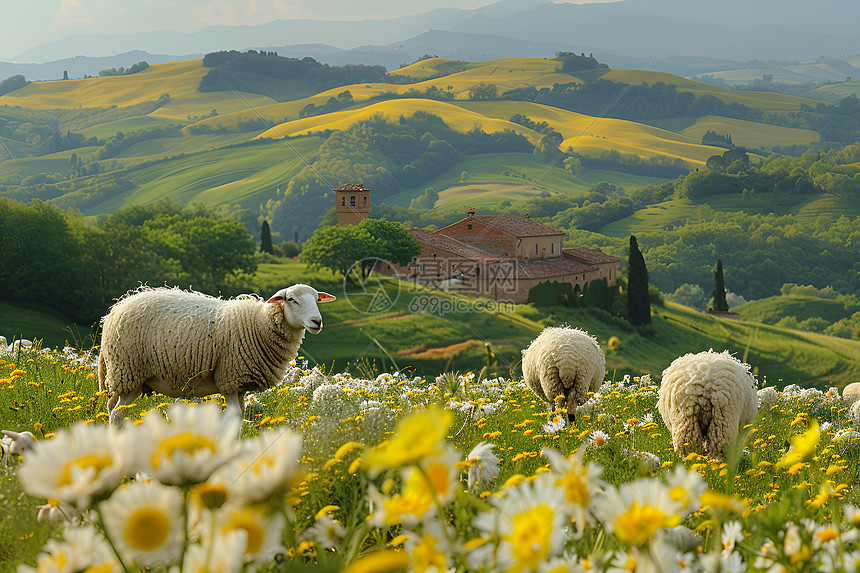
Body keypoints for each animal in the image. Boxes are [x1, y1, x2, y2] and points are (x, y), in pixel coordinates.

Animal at [101, 284, 336, 426]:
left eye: (317, 299)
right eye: (291, 299)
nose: (317, 321)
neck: (258, 324)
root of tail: (115, 310)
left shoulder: (241, 385)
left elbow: (239, 418)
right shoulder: (229, 378)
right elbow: (234, 418)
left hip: (129, 379)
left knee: (111, 407)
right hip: (129, 371)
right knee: (117, 414)